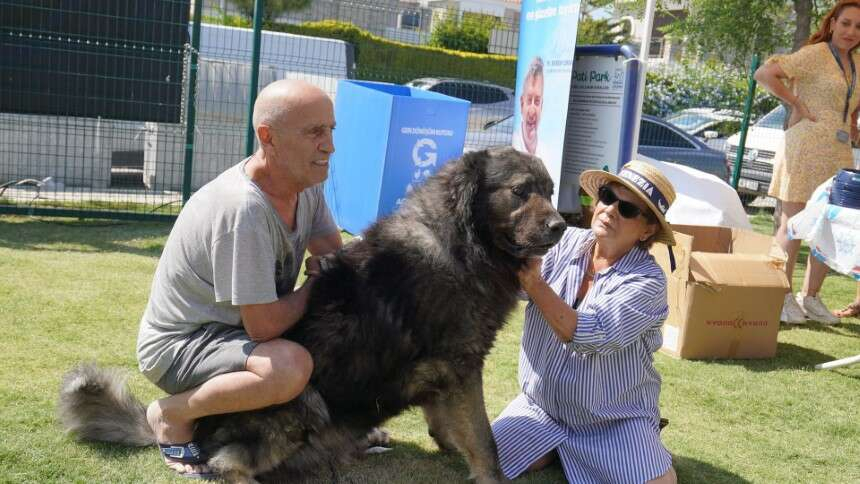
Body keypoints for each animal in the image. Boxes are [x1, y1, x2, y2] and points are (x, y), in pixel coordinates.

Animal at [62, 147, 572, 484]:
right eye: (521, 192)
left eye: (550, 192)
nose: (560, 227)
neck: (460, 242)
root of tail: (198, 433)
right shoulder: (461, 367)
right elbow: (483, 438)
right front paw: (490, 473)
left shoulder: (446, 373)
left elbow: (451, 425)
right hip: (302, 400)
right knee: (225, 464)